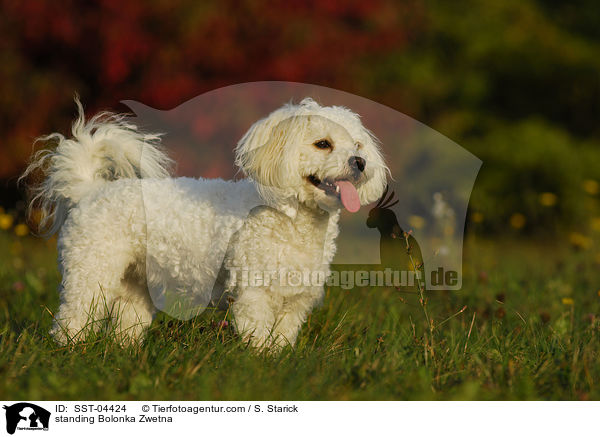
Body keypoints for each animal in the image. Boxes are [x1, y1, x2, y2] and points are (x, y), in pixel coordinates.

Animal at [23, 97, 386, 350]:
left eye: (358, 145)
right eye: (323, 144)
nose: (360, 162)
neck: (292, 219)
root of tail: (91, 189)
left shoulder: (295, 301)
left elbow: (282, 339)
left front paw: (278, 362)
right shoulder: (254, 294)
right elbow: (259, 338)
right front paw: (260, 364)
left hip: (134, 285)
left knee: (126, 324)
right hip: (90, 271)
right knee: (74, 316)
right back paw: (69, 351)